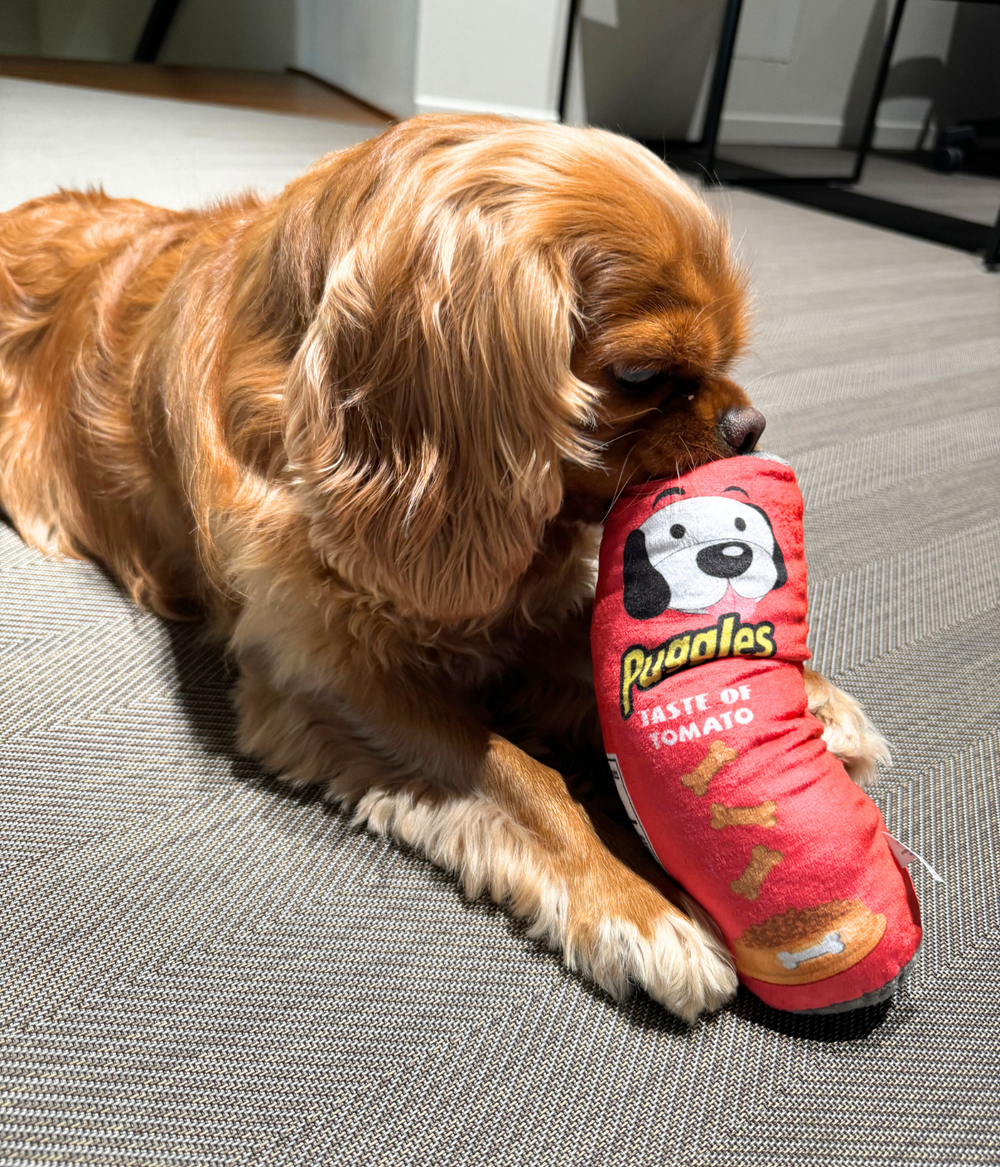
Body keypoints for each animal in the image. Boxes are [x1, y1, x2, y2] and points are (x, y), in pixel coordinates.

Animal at [0, 113, 891, 1017]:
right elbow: (523, 776)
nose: (749, 425)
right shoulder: (327, 675)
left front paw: (812, 697)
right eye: (639, 376)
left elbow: (589, 645)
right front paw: (637, 902)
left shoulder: (515, 611)